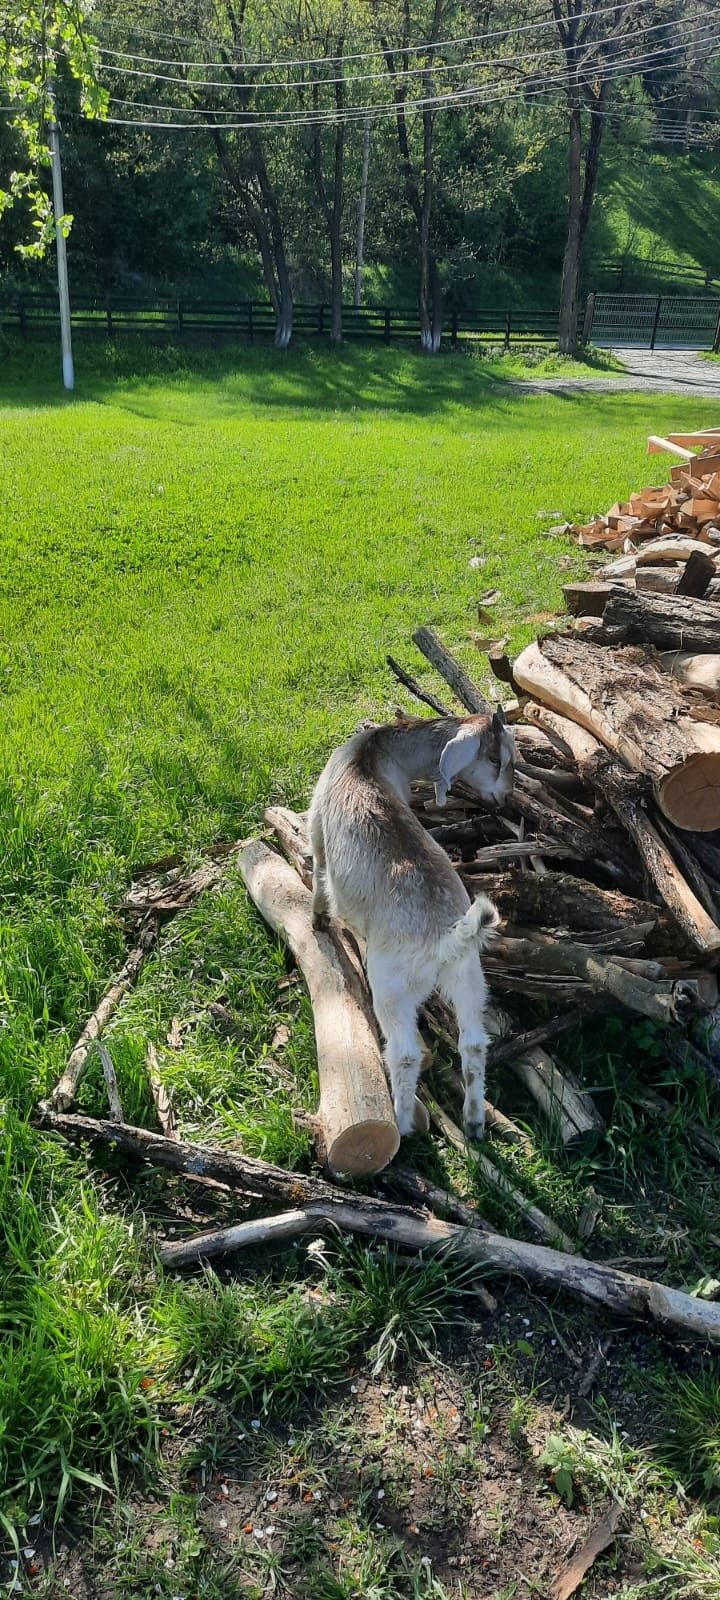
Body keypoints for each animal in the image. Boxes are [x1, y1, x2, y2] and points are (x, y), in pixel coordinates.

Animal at [307, 710, 515, 1139]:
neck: (372, 754)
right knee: (474, 1043)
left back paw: (404, 1123)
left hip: (391, 984)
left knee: (405, 1053)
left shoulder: (317, 818)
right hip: (469, 977)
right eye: (495, 759)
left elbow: (317, 866)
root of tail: (445, 939)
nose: (506, 799)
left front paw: (318, 918)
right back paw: (473, 1121)